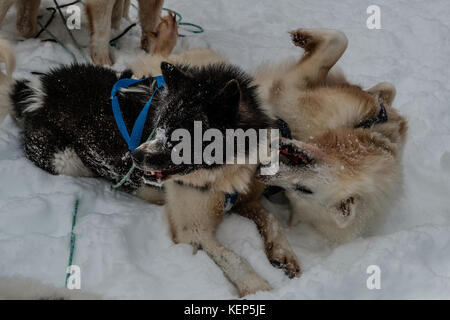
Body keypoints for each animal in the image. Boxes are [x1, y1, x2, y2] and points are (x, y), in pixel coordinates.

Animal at [1, 43, 302, 298]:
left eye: (180, 137)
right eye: (159, 123)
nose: (134, 156)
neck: (223, 170)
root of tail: (38, 89)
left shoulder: (243, 199)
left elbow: (270, 219)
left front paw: (283, 252)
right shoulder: (193, 232)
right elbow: (235, 257)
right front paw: (257, 286)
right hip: (67, 161)